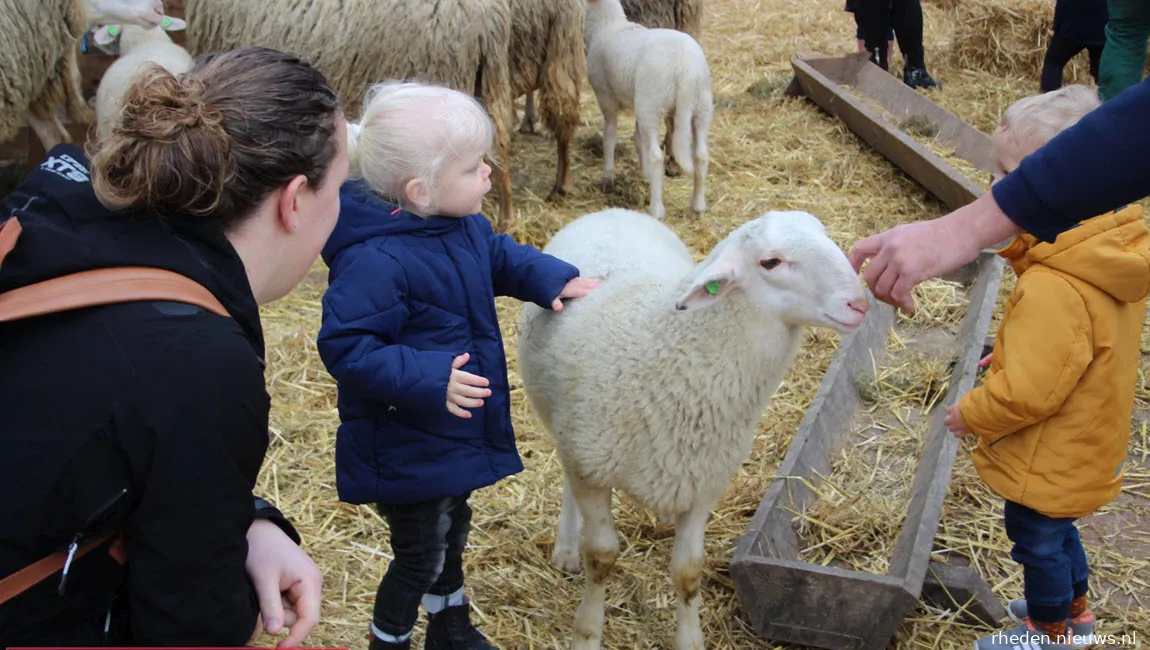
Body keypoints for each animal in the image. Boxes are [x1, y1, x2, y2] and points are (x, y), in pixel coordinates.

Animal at [517, 208, 864, 648]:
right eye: (770, 262)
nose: (860, 303)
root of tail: (612, 211)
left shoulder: (704, 483)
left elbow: (688, 571)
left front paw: (690, 639)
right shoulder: (591, 470)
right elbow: (602, 558)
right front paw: (587, 634)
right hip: (566, 431)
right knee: (566, 481)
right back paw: (565, 547)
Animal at [584, 0, 708, 220]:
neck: (606, 24)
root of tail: (684, 67)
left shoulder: (606, 97)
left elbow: (610, 136)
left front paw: (608, 175)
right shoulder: (636, 101)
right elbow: (638, 137)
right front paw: (645, 173)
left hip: (651, 103)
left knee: (657, 157)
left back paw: (657, 209)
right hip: (701, 105)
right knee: (701, 155)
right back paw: (697, 206)